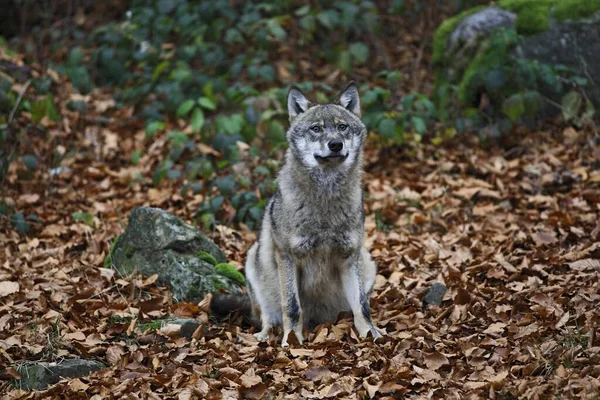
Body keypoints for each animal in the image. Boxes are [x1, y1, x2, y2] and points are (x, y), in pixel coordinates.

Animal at [216, 82, 380, 346]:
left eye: (342, 127)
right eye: (316, 129)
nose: (335, 144)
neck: (325, 200)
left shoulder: (350, 256)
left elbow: (362, 306)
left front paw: (371, 334)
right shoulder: (287, 257)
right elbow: (292, 307)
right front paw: (291, 340)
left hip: (367, 262)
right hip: (255, 261)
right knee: (267, 318)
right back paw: (263, 336)